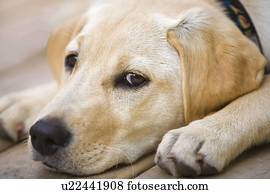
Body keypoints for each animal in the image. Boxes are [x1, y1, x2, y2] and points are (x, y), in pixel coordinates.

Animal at [0, 0, 270, 177]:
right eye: (71, 60)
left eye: (132, 79)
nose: (43, 135)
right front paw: (23, 102)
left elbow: (261, 96)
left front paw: (202, 133)